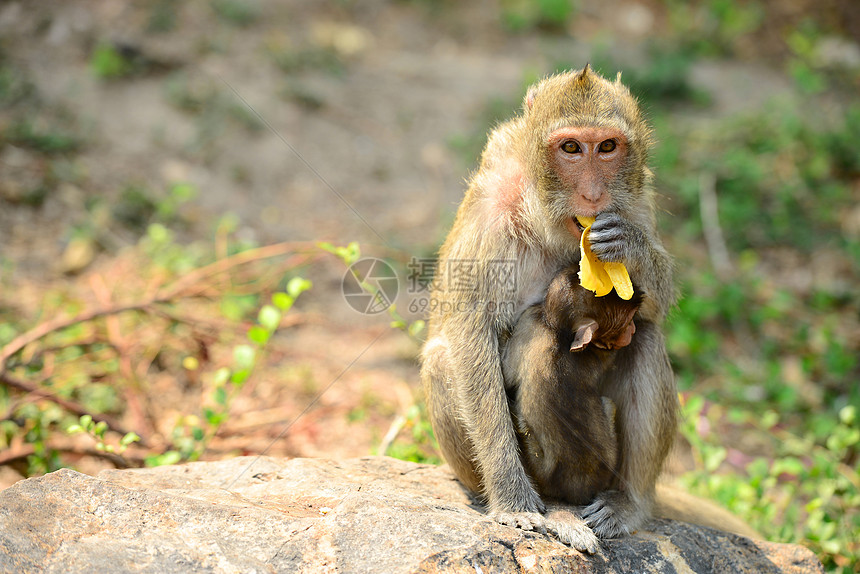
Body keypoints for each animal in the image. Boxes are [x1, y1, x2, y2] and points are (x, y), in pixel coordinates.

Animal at [500, 266, 640, 508]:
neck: (555, 329)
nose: (632, 330)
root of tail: (580, 489)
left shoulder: (529, 320)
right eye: (627, 321)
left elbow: (507, 373)